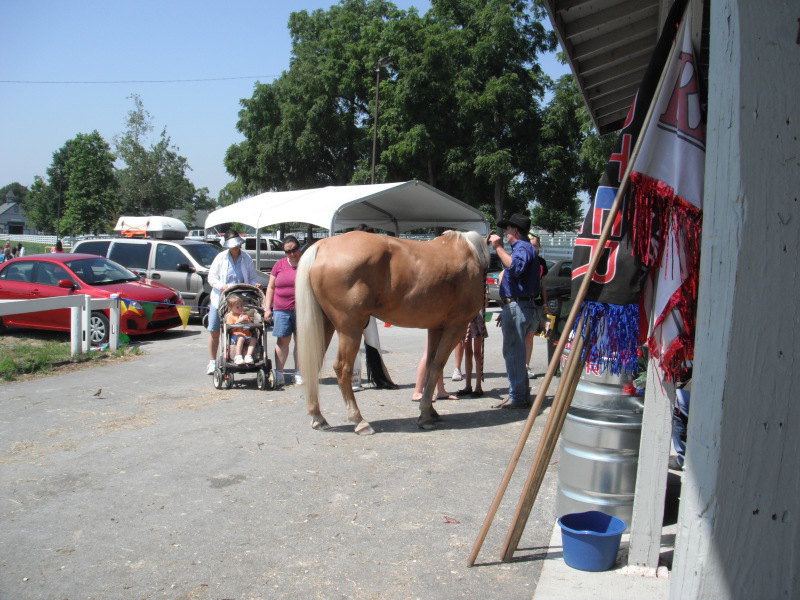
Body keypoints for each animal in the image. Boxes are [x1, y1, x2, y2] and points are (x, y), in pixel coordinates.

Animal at [296, 231, 490, 436]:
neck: (471, 253)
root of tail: (322, 245)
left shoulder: (436, 327)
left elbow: (430, 365)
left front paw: (430, 411)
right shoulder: (455, 326)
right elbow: (438, 366)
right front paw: (425, 415)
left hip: (326, 324)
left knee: (314, 362)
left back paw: (318, 418)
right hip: (350, 329)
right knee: (342, 368)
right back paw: (359, 421)